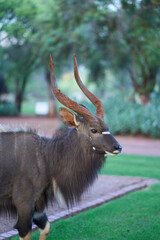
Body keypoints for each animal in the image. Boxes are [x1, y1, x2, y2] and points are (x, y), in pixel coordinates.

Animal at [0, 55, 121, 239]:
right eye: (94, 129)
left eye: (107, 127)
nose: (117, 147)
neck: (45, 157)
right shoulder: (24, 204)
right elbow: (26, 231)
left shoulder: (38, 206)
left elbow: (46, 227)